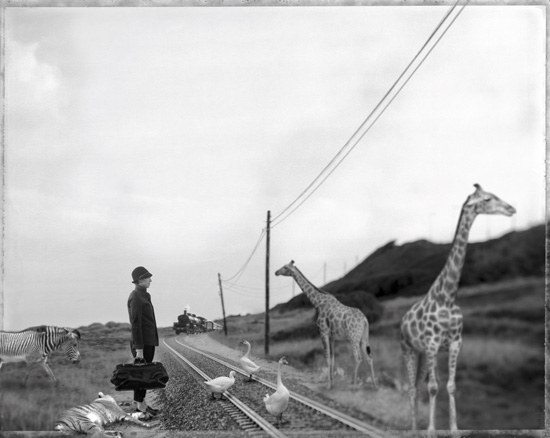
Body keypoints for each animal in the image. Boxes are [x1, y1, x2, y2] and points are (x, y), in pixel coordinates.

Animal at [278, 258, 378, 388]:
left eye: (285, 267)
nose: (276, 272)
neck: (317, 303)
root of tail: (365, 320)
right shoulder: (332, 337)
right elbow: (333, 359)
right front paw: (333, 383)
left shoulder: (323, 332)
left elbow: (327, 358)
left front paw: (328, 385)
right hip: (363, 338)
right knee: (369, 357)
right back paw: (375, 386)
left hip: (353, 337)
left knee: (358, 358)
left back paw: (354, 385)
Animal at [402, 182, 516, 432]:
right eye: (487, 199)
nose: (511, 209)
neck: (448, 296)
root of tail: (402, 321)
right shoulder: (433, 343)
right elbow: (433, 387)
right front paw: (431, 430)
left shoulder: (454, 342)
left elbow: (450, 386)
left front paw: (453, 428)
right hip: (409, 349)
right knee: (412, 388)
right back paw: (414, 428)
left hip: (424, 353)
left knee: (420, 384)